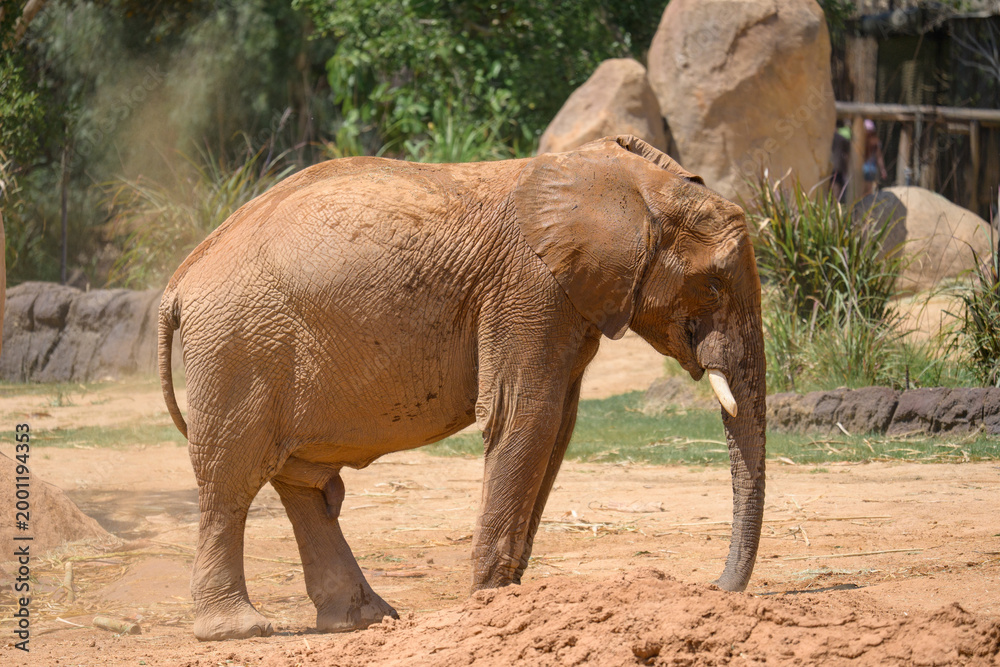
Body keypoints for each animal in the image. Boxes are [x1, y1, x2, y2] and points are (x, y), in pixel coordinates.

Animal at [158, 134, 766, 642]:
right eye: (714, 283)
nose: (716, 589)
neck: (632, 185)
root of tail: (179, 280)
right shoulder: (528, 286)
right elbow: (525, 416)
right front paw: (493, 604)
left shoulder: (567, 302)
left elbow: (558, 427)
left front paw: (512, 599)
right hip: (239, 350)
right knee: (232, 482)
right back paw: (238, 632)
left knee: (300, 483)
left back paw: (365, 620)